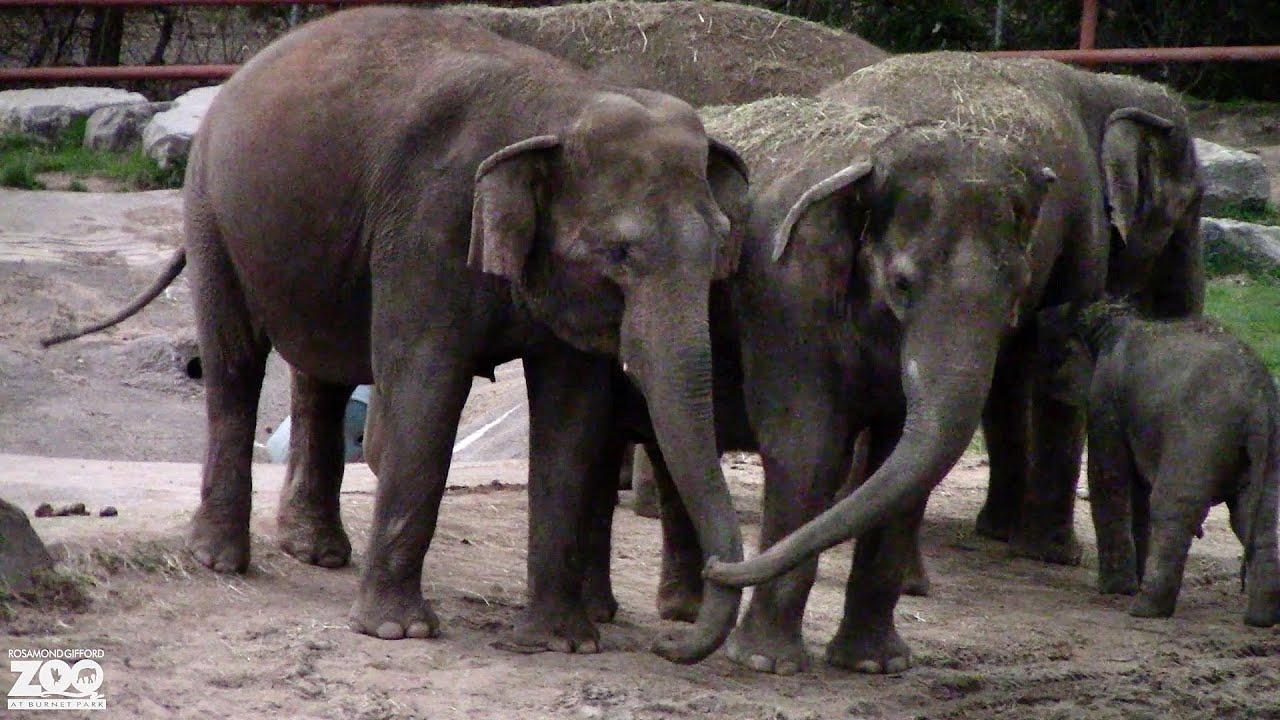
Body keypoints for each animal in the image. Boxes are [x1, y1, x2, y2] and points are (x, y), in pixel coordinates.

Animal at [39, 6, 751, 664]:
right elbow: (426, 387)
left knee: (320, 371)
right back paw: (219, 560)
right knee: (236, 363)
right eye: (618, 253)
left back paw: (316, 552)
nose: (670, 642)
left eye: (722, 245)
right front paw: (397, 632)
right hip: (211, 211)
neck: (562, 103)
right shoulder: (430, 225)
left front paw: (561, 643)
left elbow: (571, 414)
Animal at [694, 53, 1113, 674]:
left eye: (1016, 291)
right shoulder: (784, 293)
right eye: (902, 284)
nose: (717, 568)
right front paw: (765, 664)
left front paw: (874, 666)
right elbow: (807, 446)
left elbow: (899, 454)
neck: (875, 154)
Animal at [1037, 302, 1280, 627]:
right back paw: (1260, 619)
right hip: (1268, 445)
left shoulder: (1105, 394)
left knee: (1173, 507)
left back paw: (1144, 609)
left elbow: (1109, 478)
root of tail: (1258, 399)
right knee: (1256, 515)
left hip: (1198, 434)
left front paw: (1116, 589)